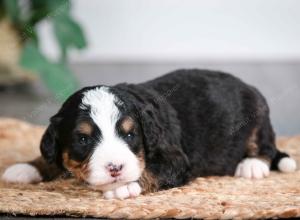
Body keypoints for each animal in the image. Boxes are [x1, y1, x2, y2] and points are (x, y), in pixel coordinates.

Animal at [2, 69, 298, 199]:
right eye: (83, 139)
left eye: (130, 135)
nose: (115, 168)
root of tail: (249, 85)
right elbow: (50, 157)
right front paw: (26, 167)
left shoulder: (175, 158)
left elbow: (150, 171)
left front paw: (123, 186)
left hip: (258, 115)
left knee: (265, 145)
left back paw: (252, 165)